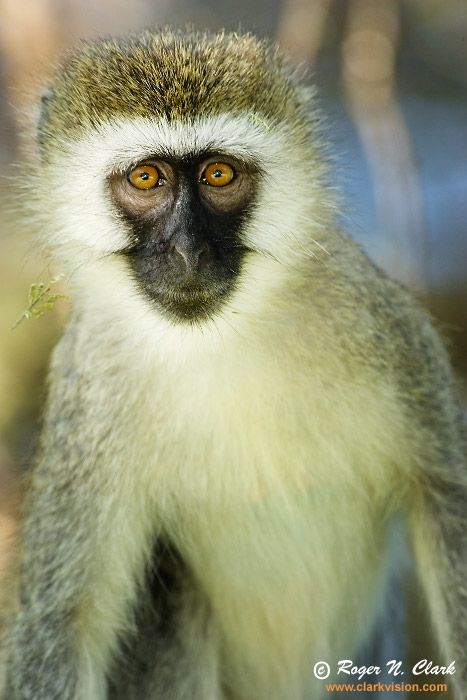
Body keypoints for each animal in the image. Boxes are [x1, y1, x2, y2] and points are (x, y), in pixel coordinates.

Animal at [3, 27, 467, 700]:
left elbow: (446, 493)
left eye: (219, 175)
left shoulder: (382, 328)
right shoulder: (86, 400)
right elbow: (59, 623)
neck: (217, 343)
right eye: (146, 178)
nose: (187, 250)